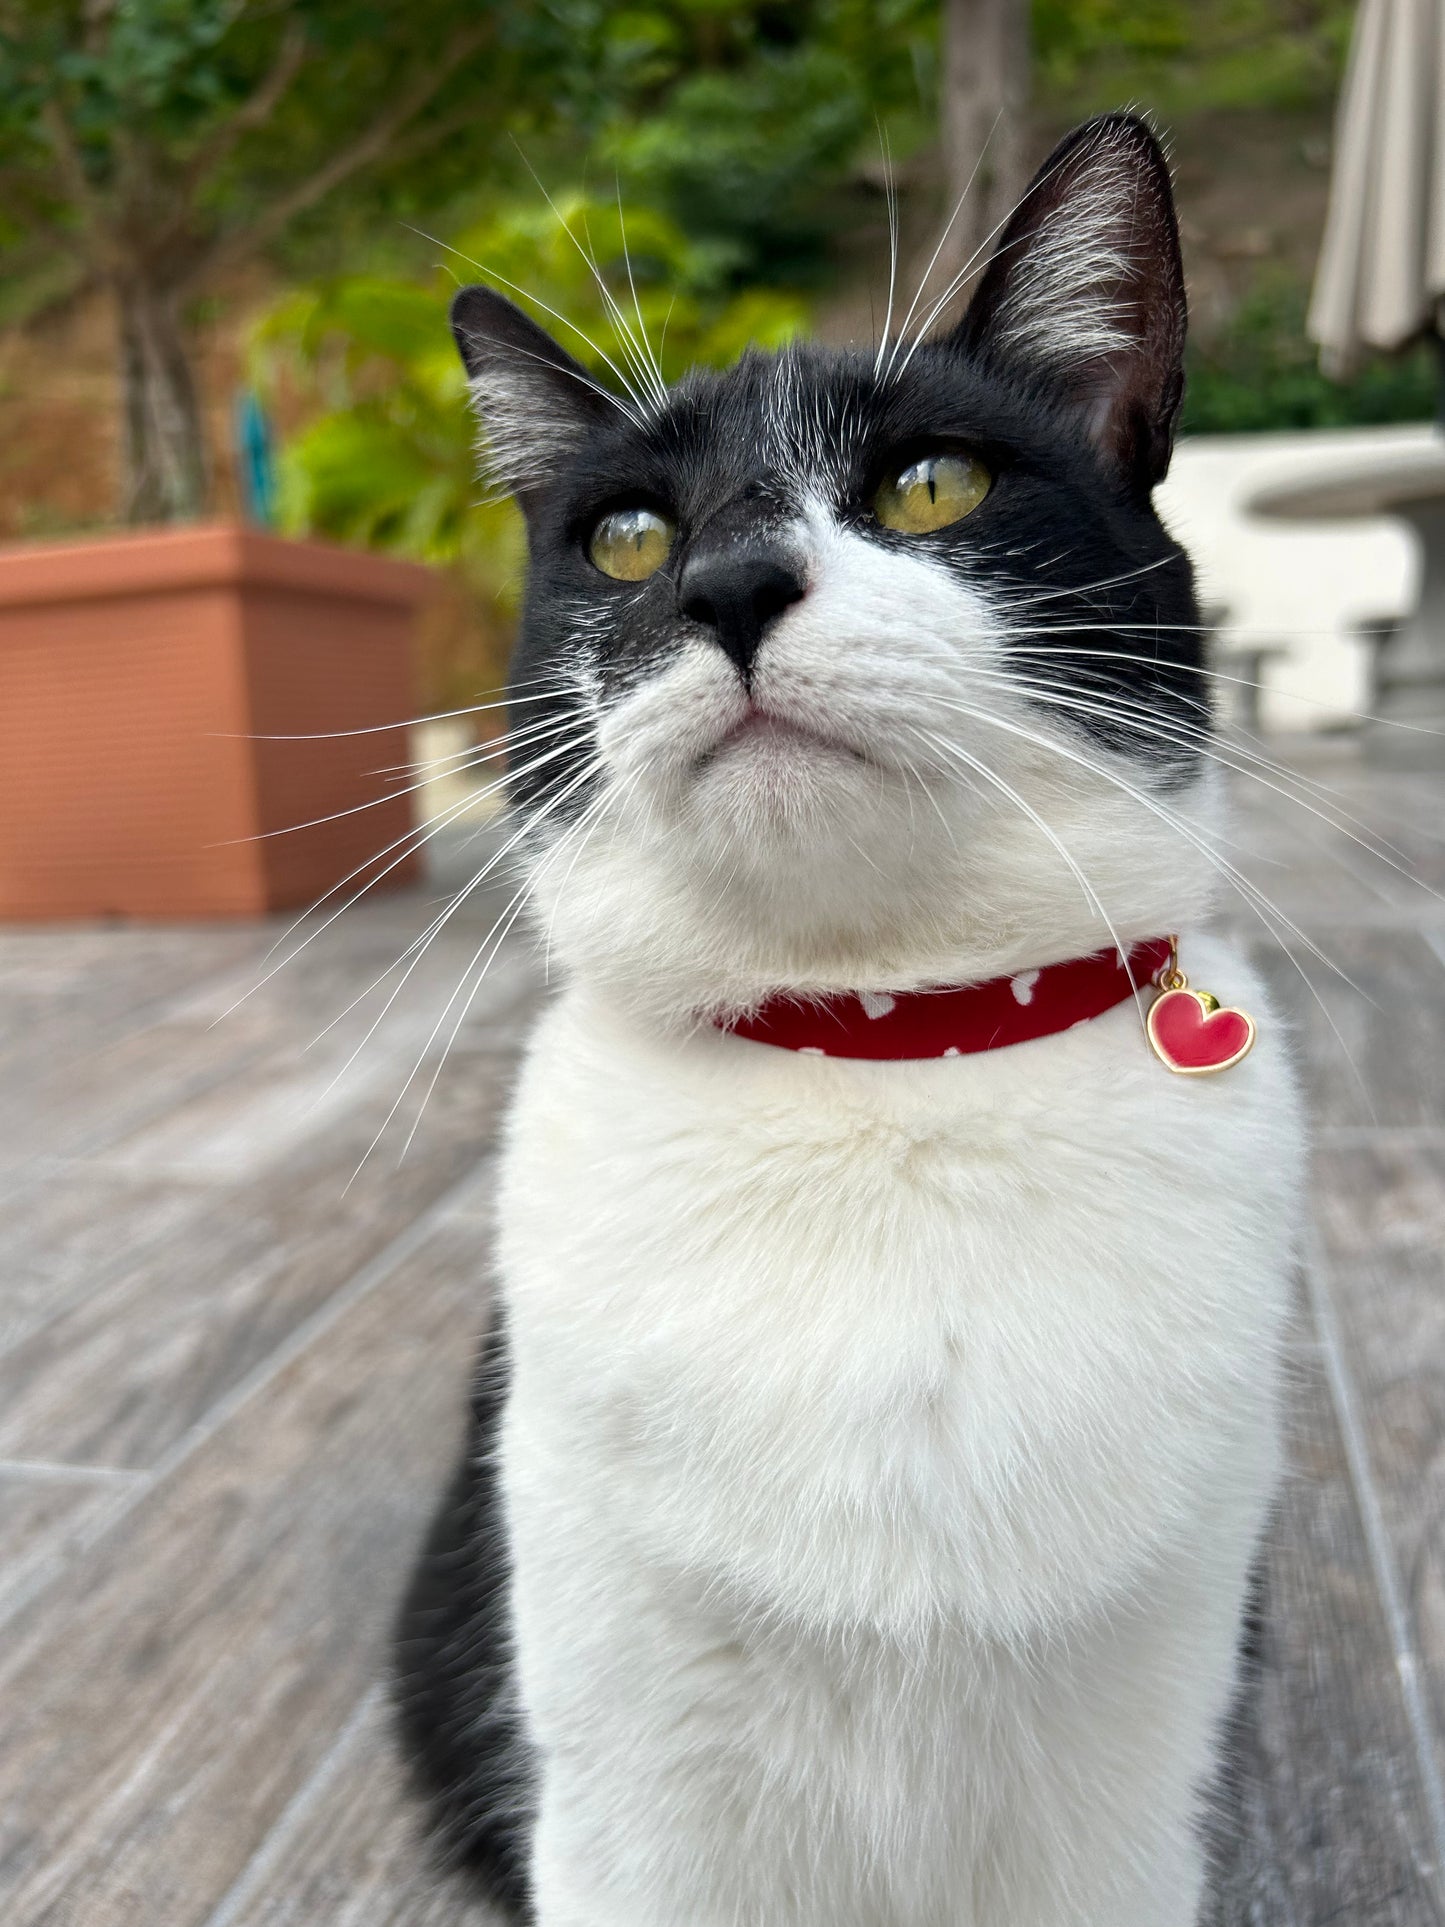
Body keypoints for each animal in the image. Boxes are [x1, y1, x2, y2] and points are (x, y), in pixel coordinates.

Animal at [393, 116, 1302, 1927]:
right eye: (625, 537)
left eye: (931, 485)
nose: (732, 580)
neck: (885, 1057)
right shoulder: (628, 1788)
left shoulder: (1123, 1779)